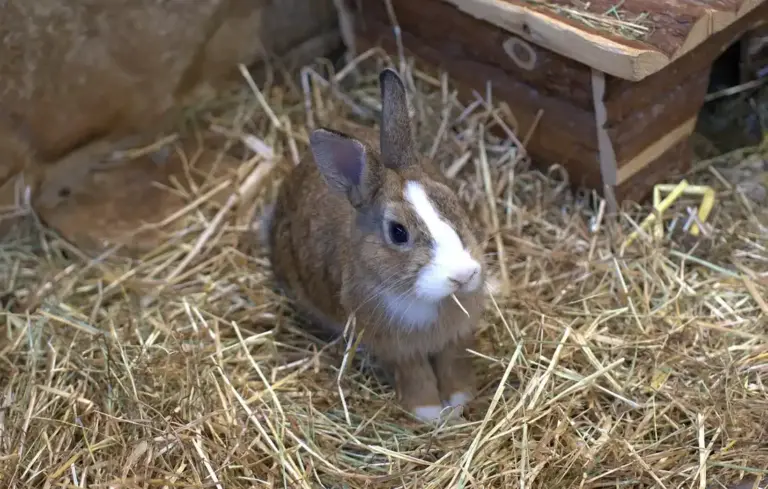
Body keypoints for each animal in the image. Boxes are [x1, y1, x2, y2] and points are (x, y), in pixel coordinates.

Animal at [267, 68, 487, 423]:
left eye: (453, 201)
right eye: (397, 232)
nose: (463, 275)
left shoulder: (455, 339)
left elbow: (453, 367)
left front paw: (458, 402)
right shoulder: (396, 350)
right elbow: (416, 377)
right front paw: (430, 414)